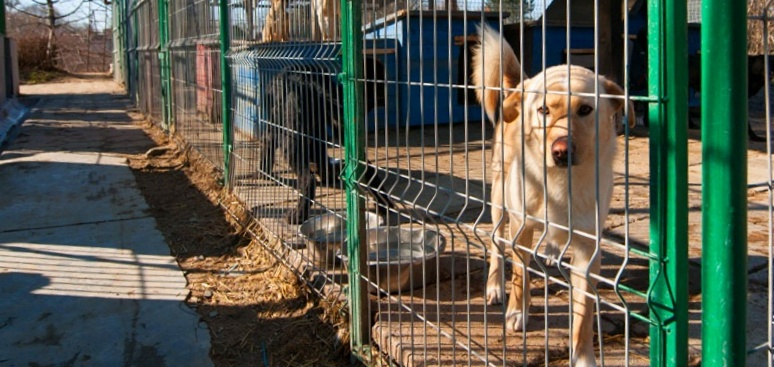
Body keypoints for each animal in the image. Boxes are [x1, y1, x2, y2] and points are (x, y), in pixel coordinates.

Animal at [472, 23, 636, 367]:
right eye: (543, 110)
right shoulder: (521, 229)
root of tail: (521, 85)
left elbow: (584, 312)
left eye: (585, 109)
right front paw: (517, 312)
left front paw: (583, 356)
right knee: (496, 246)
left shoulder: (588, 249)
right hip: (499, 203)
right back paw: (495, 286)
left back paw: (550, 250)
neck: (563, 183)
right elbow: (520, 276)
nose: (561, 151)